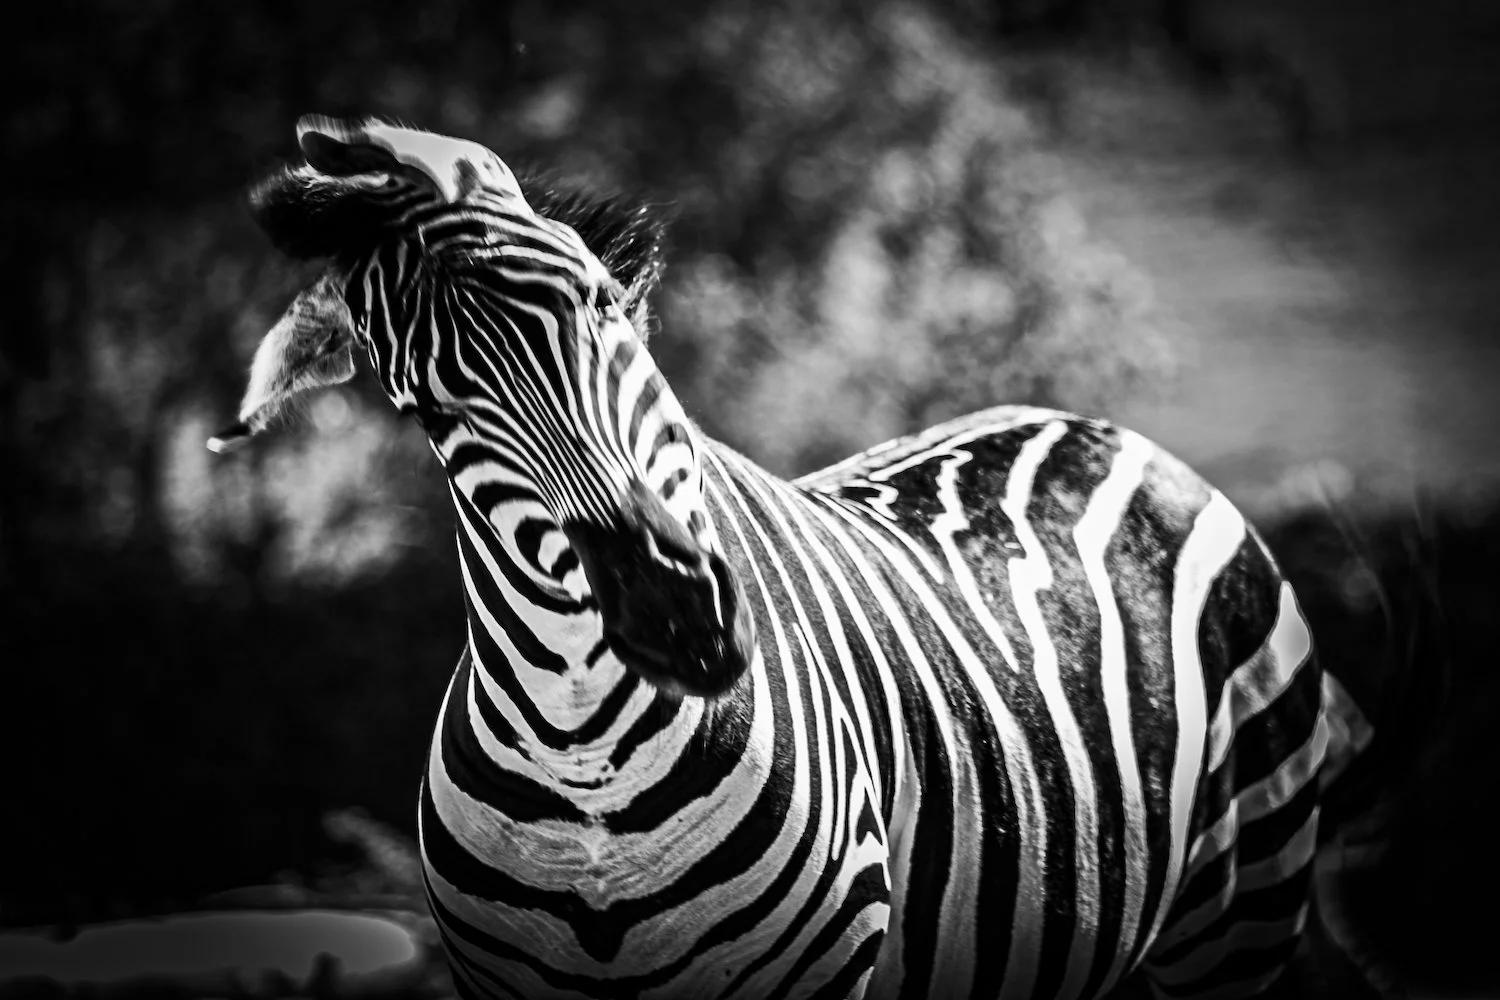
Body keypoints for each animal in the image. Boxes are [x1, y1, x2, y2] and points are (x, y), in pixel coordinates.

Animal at [212, 116, 1377, 1000]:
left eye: (599, 306)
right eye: (431, 409)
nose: (670, 612)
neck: (586, 757)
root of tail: (1088, 424)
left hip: (1240, 910)